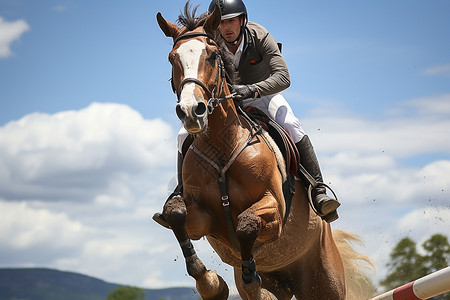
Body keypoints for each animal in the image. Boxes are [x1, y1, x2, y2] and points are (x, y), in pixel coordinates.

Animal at [156, 2, 372, 300]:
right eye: (171, 58)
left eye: (212, 56)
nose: (191, 111)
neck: (222, 146)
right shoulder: (202, 219)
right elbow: (175, 214)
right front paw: (211, 284)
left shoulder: (274, 209)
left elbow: (246, 224)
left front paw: (246, 281)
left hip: (324, 281)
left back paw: (323, 200)